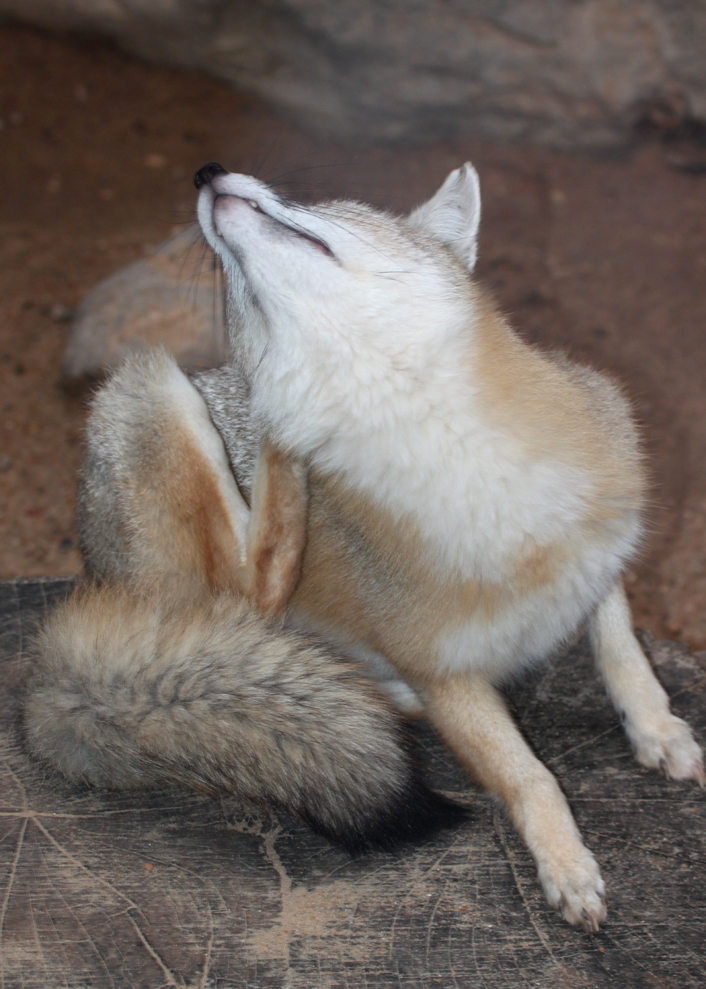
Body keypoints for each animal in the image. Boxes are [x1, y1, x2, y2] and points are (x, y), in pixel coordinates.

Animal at [24, 164, 700, 932]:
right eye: (235, 291)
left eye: (321, 205)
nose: (206, 173)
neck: (479, 485)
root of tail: (96, 573)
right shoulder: (444, 672)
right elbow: (529, 775)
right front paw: (566, 863)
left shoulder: (601, 551)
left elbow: (624, 651)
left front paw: (659, 728)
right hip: (146, 389)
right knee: (253, 582)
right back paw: (283, 456)